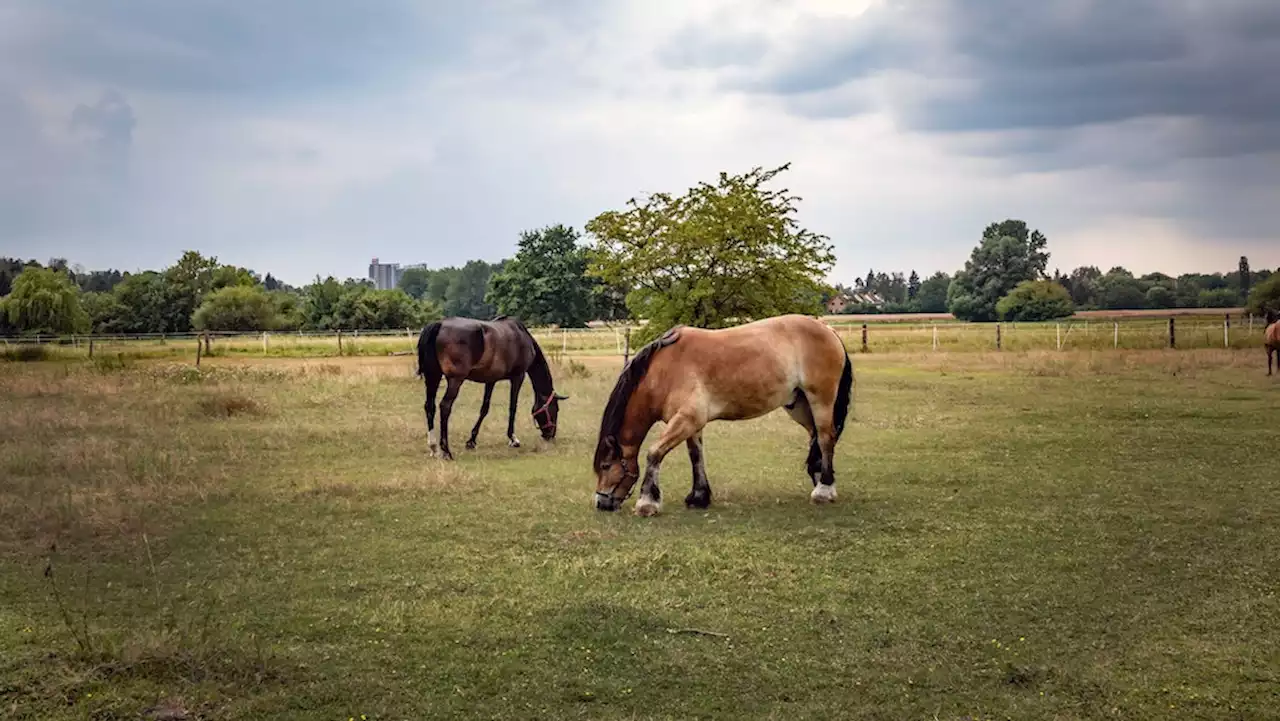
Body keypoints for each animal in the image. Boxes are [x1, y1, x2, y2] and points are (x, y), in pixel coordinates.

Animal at [417, 317, 568, 463]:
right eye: (555, 409)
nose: (550, 435)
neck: (521, 335)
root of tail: (439, 324)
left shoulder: (491, 380)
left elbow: (484, 408)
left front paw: (471, 441)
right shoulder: (518, 377)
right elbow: (513, 407)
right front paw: (513, 439)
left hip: (433, 377)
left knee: (430, 406)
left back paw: (434, 448)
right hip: (455, 380)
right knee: (445, 406)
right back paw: (446, 451)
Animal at [593, 315, 855, 512]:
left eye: (605, 466)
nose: (601, 503)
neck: (664, 371)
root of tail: (828, 329)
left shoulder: (688, 419)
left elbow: (654, 453)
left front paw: (648, 502)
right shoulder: (692, 424)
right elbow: (696, 456)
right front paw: (699, 497)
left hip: (820, 399)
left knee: (826, 438)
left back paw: (824, 490)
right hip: (799, 405)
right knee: (815, 438)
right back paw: (820, 479)